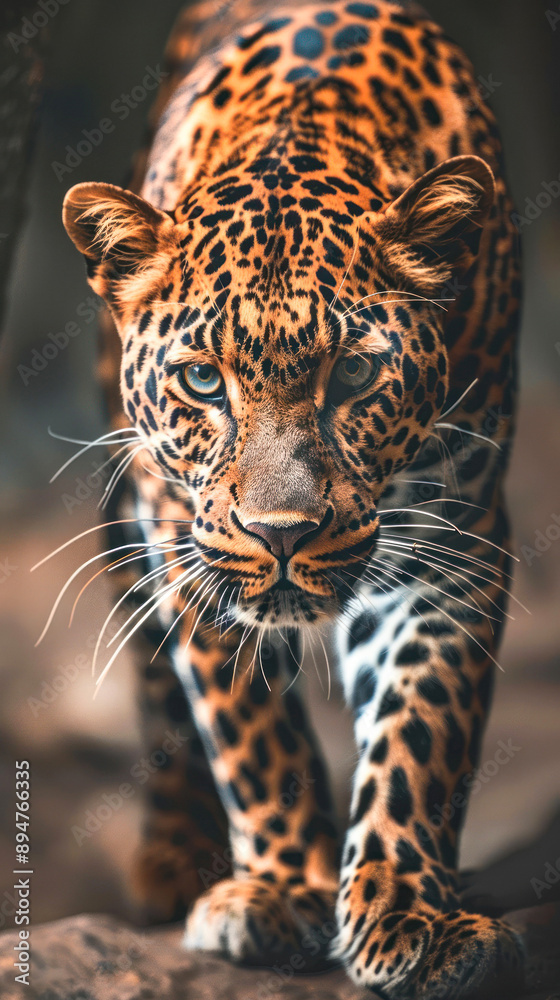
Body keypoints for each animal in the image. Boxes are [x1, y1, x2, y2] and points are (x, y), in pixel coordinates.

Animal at [61, 0, 524, 995]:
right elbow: (248, 728)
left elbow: (422, 728)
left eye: (352, 374)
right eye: (202, 379)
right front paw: (282, 891)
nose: (280, 535)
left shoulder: (452, 537)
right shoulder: (184, 533)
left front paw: (410, 911)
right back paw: (175, 854)